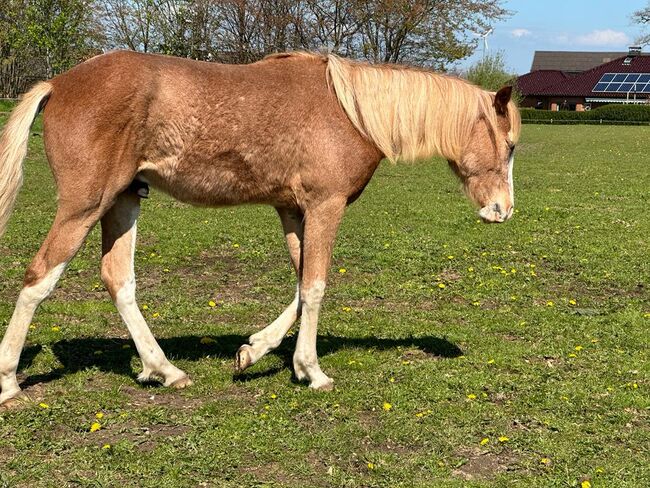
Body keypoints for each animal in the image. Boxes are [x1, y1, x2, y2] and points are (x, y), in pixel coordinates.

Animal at [0, 50, 516, 408]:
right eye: (510, 145)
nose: (502, 211)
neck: (350, 112)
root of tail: (59, 83)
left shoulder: (291, 210)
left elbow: (301, 285)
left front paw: (254, 351)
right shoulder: (325, 207)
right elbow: (316, 286)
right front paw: (312, 371)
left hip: (123, 201)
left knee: (118, 280)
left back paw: (163, 369)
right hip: (84, 206)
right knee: (39, 278)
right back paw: (9, 382)